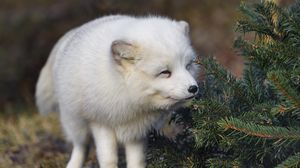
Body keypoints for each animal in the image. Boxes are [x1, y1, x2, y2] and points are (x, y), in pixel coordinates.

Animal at [35, 14, 199, 168]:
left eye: (188, 66)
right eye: (165, 72)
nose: (194, 88)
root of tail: (74, 32)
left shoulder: (137, 131)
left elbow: (136, 160)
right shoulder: (100, 122)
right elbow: (108, 158)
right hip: (75, 123)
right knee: (81, 146)